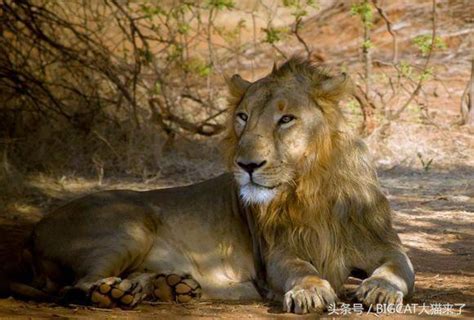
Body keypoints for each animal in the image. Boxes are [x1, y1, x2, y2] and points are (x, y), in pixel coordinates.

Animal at [8, 56, 414, 314]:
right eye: (243, 117)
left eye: (286, 119)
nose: (247, 165)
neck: (310, 187)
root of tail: (31, 233)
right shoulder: (277, 253)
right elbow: (302, 269)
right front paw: (310, 292)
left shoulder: (383, 245)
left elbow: (398, 267)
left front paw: (380, 289)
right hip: (130, 224)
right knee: (78, 286)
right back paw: (118, 294)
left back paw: (169, 287)